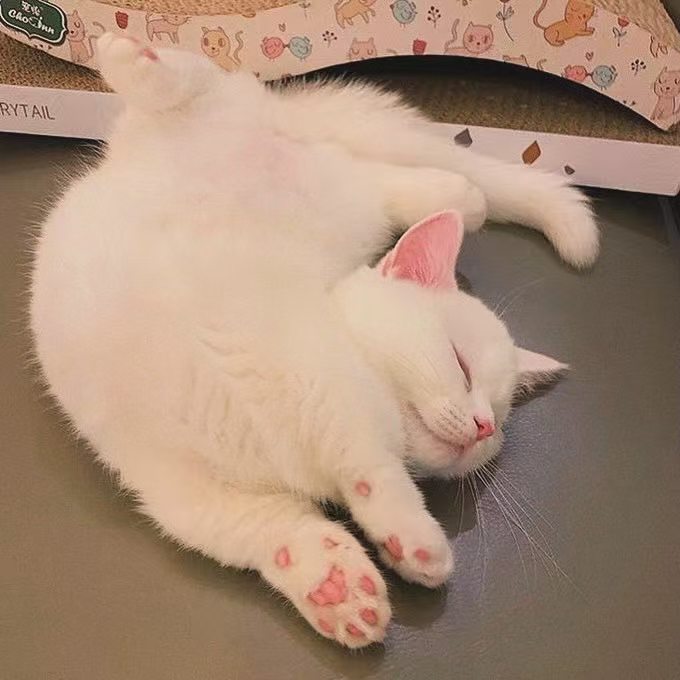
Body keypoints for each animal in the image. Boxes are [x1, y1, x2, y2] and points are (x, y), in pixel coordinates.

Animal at [31, 35, 598, 648]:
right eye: (461, 365)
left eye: (499, 415)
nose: (484, 427)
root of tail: (293, 129)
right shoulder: (319, 391)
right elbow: (370, 460)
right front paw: (413, 538)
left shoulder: (196, 495)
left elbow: (272, 530)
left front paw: (335, 585)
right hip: (206, 125)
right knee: (198, 84)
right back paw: (132, 55)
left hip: (341, 189)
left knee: (439, 193)